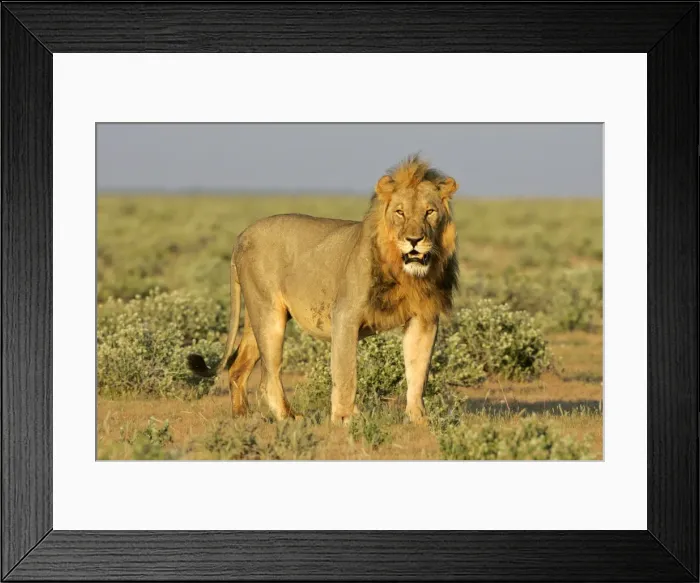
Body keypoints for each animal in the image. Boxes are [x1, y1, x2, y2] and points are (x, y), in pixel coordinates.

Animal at [187, 154, 459, 424]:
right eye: (400, 212)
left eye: (429, 212)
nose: (414, 240)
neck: (406, 274)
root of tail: (241, 236)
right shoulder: (345, 315)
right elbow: (346, 372)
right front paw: (345, 418)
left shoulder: (424, 318)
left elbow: (418, 371)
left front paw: (419, 419)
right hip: (268, 315)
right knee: (268, 377)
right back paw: (290, 417)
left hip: (258, 316)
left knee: (237, 368)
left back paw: (242, 416)